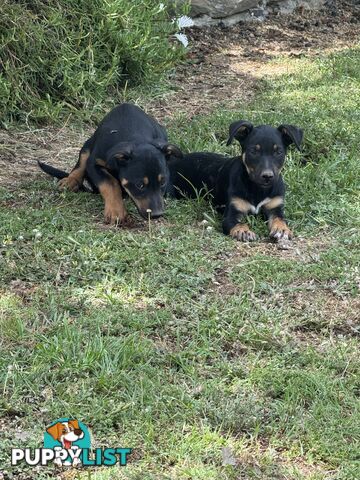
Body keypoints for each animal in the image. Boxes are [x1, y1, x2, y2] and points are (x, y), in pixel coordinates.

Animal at [38, 103, 183, 223]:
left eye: (163, 182)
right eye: (139, 185)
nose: (157, 215)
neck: (134, 136)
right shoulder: (94, 164)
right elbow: (110, 183)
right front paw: (116, 211)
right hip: (88, 143)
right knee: (81, 162)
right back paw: (70, 181)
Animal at [167, 120, 302, 240]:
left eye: (278, 152)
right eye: (253, 151)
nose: (267, 176)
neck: (258, 189)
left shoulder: (275, 207)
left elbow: (280, 219)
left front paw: (282, 229)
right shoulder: (231, 213)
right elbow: (238, 223)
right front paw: (243, 231)